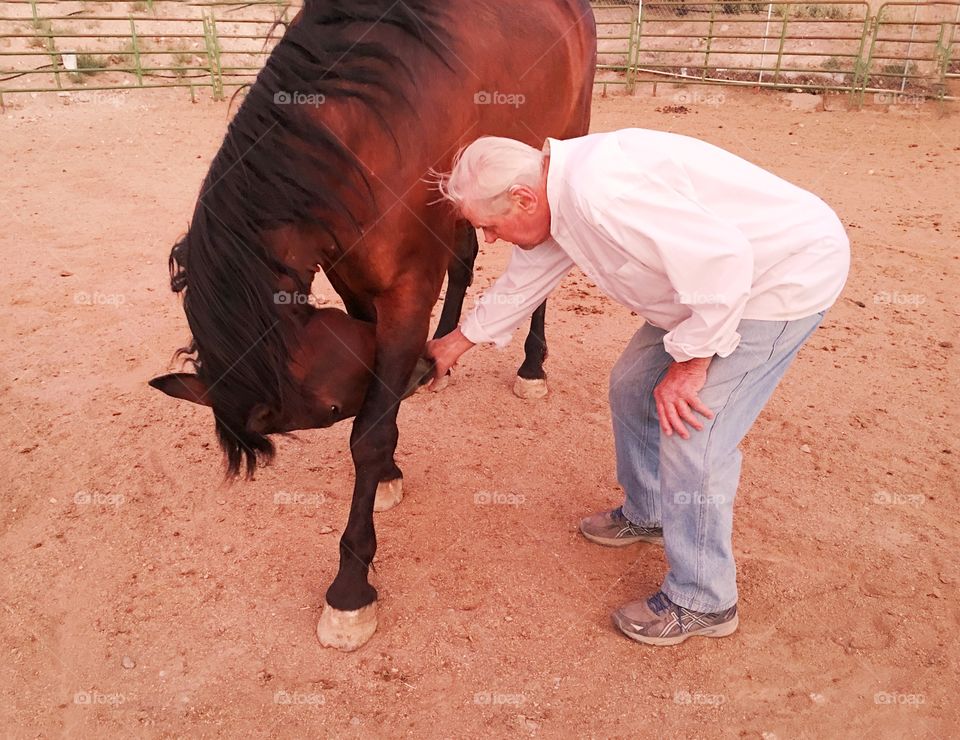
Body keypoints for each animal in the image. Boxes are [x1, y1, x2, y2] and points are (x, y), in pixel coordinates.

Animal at [149, 0, 596, 651]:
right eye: (329, 408)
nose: (420, 366)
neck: (360, 132)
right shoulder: (355, 283)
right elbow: (376, 409)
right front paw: (390, 466)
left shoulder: (405, 289)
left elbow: (370, 435)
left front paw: (350, 588)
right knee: (464, 258)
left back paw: (531, 365)